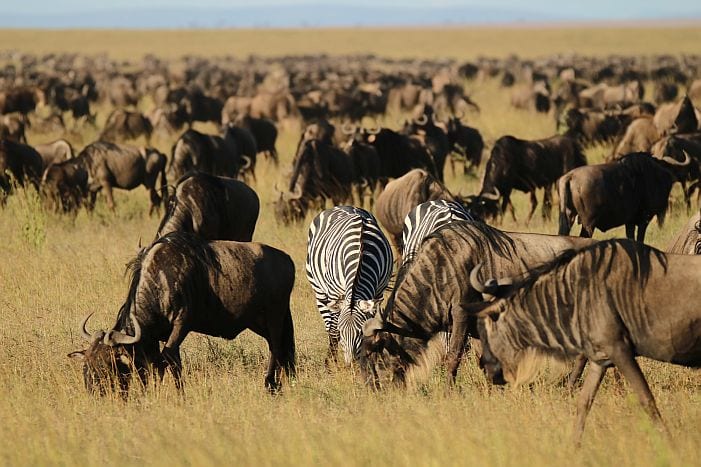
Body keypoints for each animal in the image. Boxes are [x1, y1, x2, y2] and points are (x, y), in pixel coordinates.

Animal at [306, 206, 394, 365]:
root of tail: (342, 206)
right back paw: (329, 360)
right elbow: (334, 331)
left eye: (360, 332)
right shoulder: (335, 294)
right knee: (329, 327)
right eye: (342, 332)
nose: (350, 365)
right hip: (319, 291)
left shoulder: (377, 293)